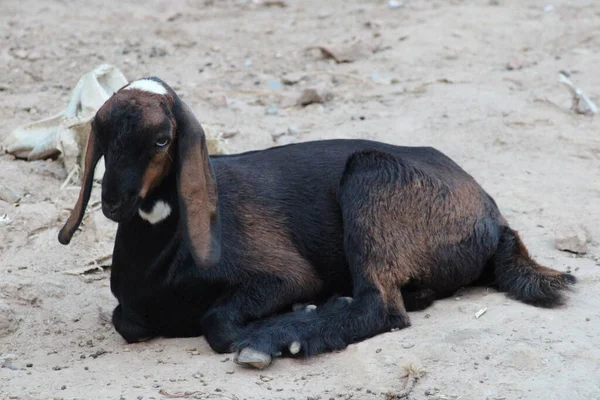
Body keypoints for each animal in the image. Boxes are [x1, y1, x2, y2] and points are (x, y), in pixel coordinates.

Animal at [57, 76, 576, 368]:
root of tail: (493, 218)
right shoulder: (131, 308)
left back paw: (283, 336)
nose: (114, 202)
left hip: (371, 181)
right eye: (101, 132)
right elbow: (127, 321)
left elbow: (217, 322)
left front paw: (277, 324)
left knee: (380, 307)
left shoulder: (284, 274)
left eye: (163, 139)